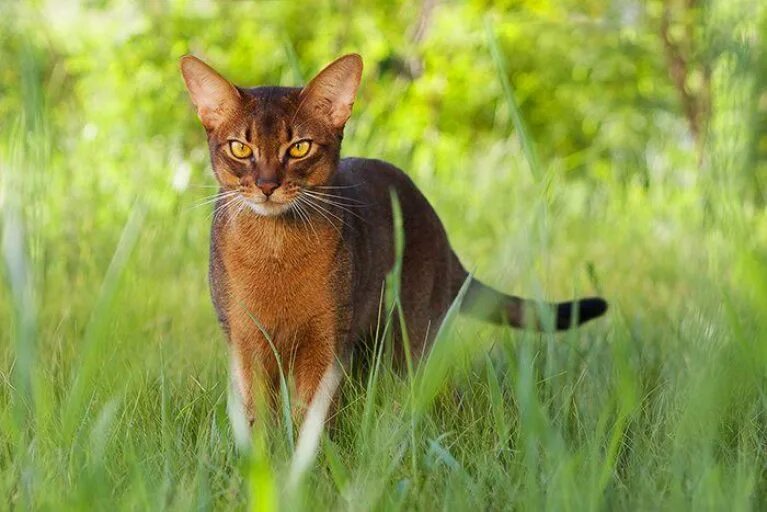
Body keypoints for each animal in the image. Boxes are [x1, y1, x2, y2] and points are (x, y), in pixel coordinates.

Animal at [178, 54, 608, 450]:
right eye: (240, 148)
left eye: (299, 148)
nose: (267, 185)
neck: (275, 251)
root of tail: (435, 220)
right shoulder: (245, 342)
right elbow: (257, 422)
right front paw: (263, 465)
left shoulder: (325, 341)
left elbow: (310, 419)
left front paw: (311, 465)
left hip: (410, 340)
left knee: (441, 394)